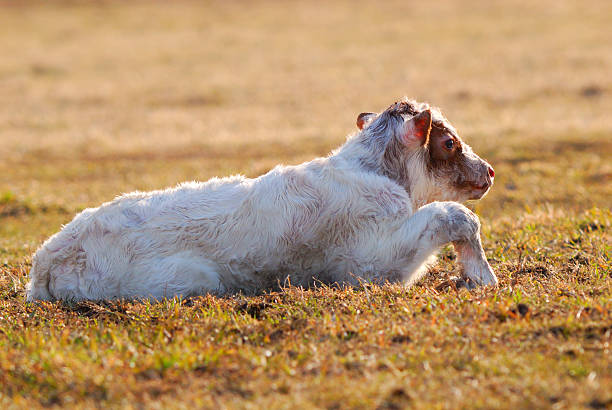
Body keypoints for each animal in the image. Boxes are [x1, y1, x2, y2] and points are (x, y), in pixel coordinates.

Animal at [27, 97, 498, 300]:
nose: (490, 172)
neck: (371, 171)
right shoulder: (370, 262)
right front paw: (482, 277)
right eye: (450, 143)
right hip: (189, 279)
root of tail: (45, 260)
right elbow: (456, 216)